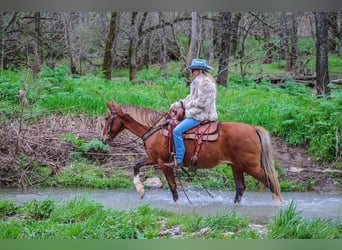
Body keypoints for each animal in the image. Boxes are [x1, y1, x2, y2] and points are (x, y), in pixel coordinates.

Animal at [102, 99, 284, 203]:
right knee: (240, 187)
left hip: (250, 166)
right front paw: (140, 191)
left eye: (106, 118)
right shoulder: (153, 158)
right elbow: (136, 165)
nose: (103, 138)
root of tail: (254, 129)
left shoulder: (163, 163)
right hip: (236, 166)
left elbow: (173, 186)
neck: (156, 130)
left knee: (271, 182)